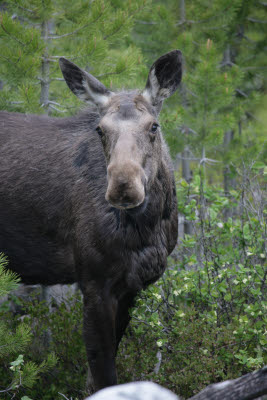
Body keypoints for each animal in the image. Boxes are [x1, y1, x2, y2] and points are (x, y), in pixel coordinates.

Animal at [0, 50, 182, 390]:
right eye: (100, 129)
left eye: (153, 126)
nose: (123, 185)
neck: (148, 228)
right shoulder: (94, 280)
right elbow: (103, 374)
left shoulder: (131, 286)